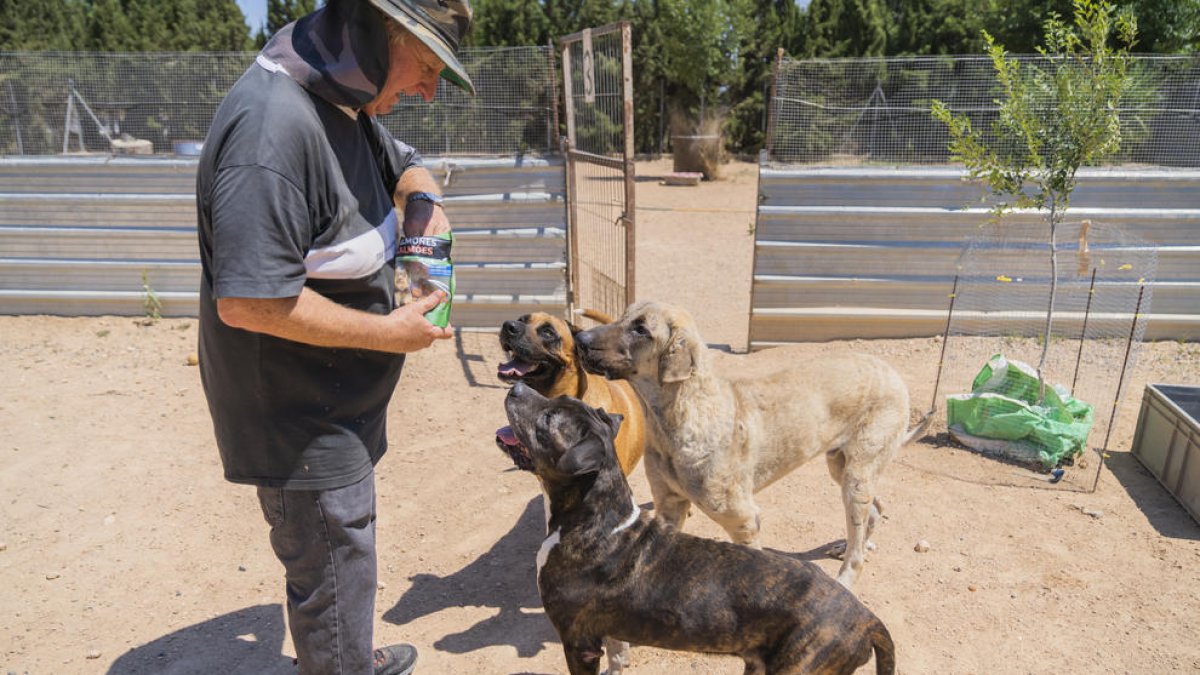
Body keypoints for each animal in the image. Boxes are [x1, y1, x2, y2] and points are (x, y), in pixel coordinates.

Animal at [573, 302, 926, 586]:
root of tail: (891, 372)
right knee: (874, 511)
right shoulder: (669, 506)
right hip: (841, 466)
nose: (580, 340)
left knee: (859, 545)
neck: (677, 416)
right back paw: (854, 544)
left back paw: (848, 575)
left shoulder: (744, 521)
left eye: (641, 328)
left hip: (856, 477)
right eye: (622, 316)